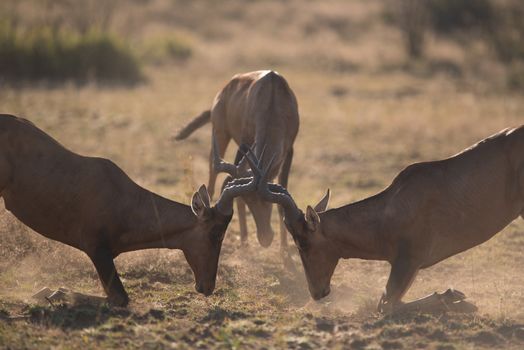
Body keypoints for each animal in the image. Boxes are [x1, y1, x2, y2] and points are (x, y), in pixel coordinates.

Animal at [0, 115, 262, 306]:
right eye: (216, 233)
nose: (207, 287)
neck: (121, 196)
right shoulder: (96, 251)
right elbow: (120, 299)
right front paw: (52, 293)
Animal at [175, 70, 298, 252]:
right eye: (249, 201)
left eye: (268, 200)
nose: (265, 238)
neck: (272, 97)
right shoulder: (245, 143)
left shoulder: (289, 150)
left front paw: (285, 252)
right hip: (220, 134)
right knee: (211, 181)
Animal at [250, 126, 524, 314]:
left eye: (302, 242)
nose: (317, 293)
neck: (392, 207)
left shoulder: (408, 263)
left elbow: (385, 305)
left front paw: (458, 298)